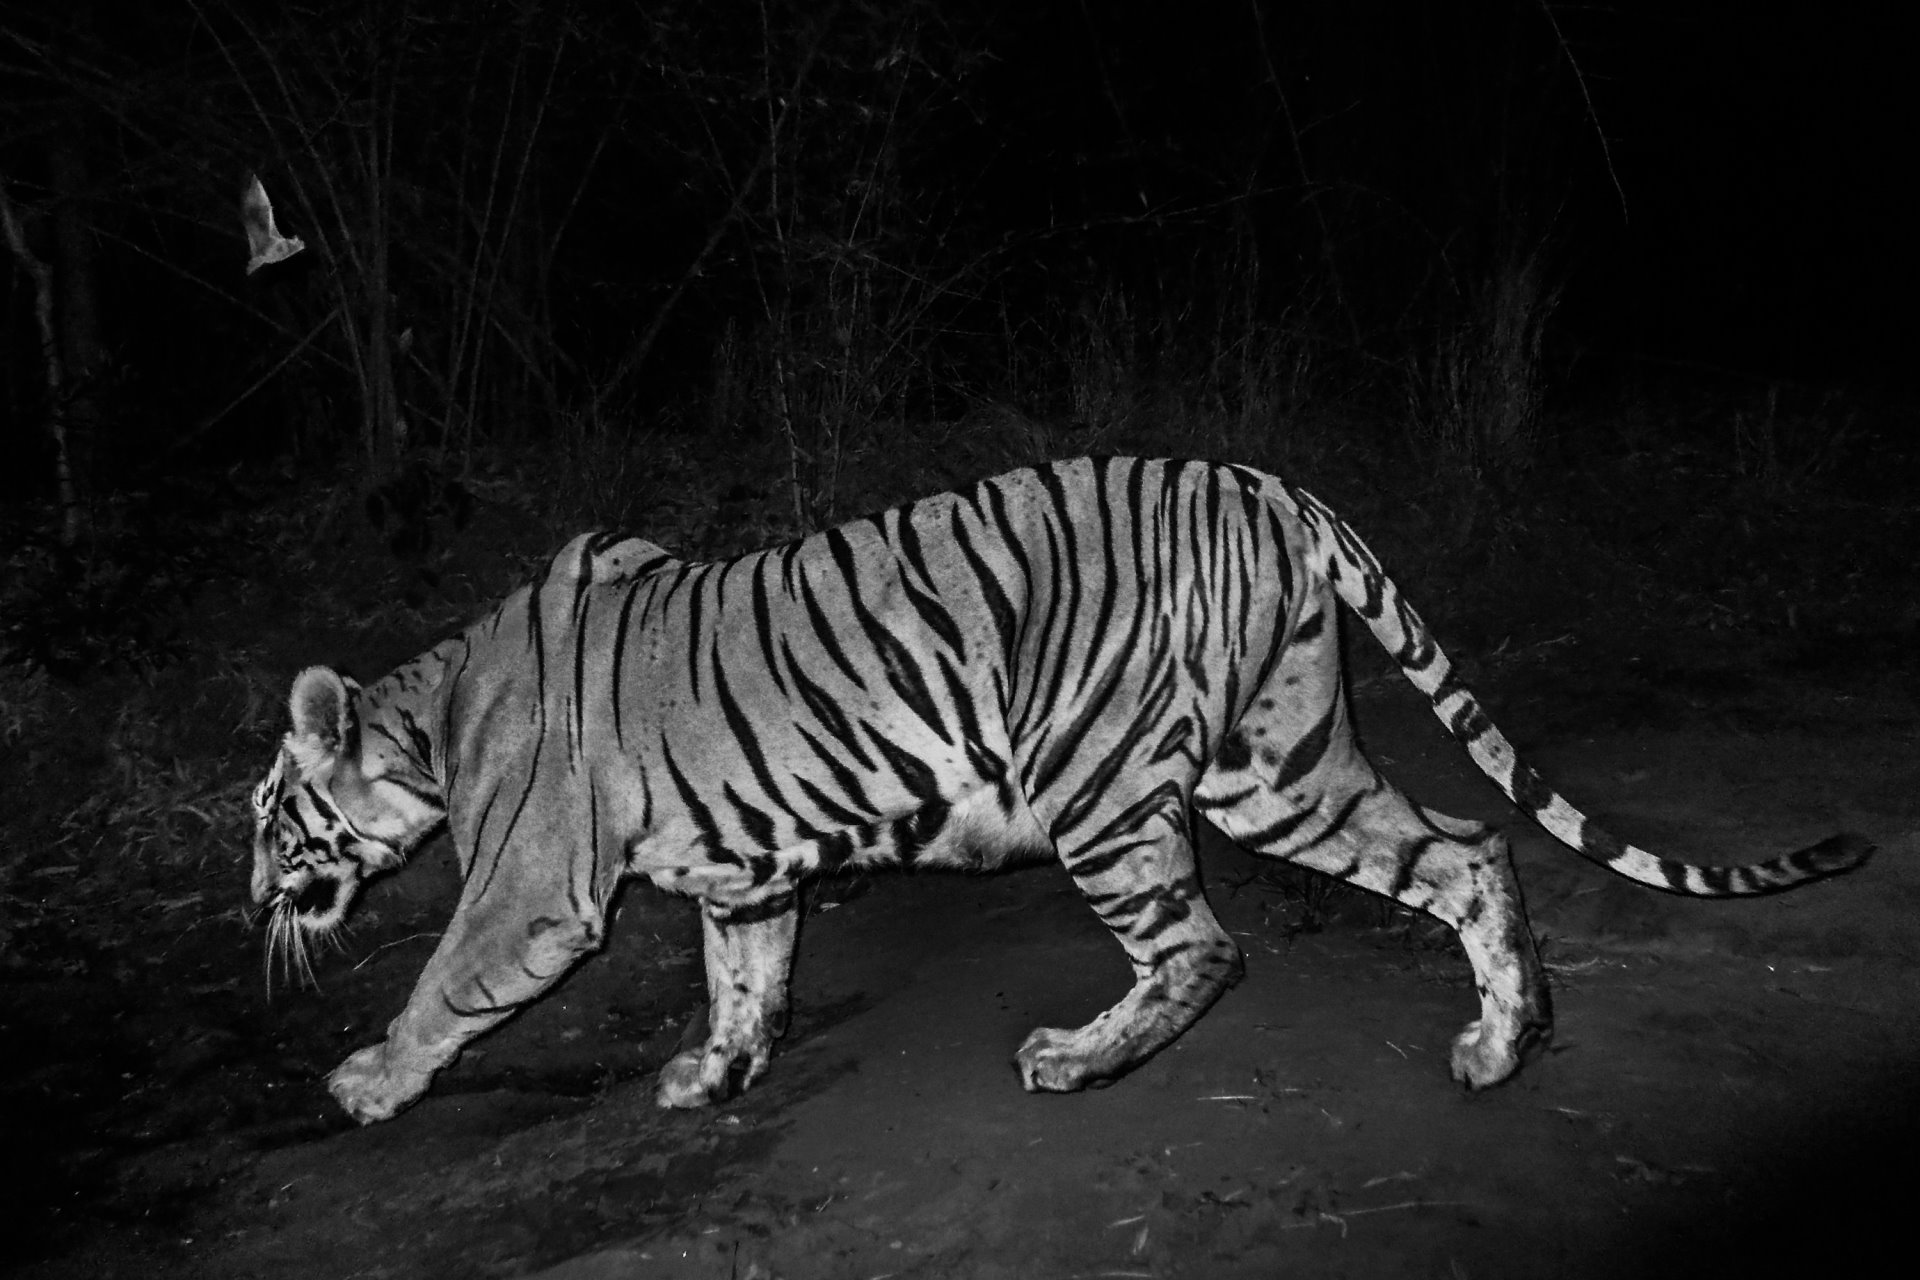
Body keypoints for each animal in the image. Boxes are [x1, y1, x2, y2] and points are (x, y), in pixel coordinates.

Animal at [243, 458, 1873, 1120]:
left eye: (268, 820)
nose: (255, 898)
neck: (428, 716)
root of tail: (1269, 484)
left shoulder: (528, 889)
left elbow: (446, 984)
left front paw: (366, 1081)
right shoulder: (747, 870)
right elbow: (743, 977)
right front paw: (714, 1072)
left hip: (1101, 781)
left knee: (1201, 944)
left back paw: (1079, 1060)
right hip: (1278, 764)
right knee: (1467, 847)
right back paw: (1499, 1047)